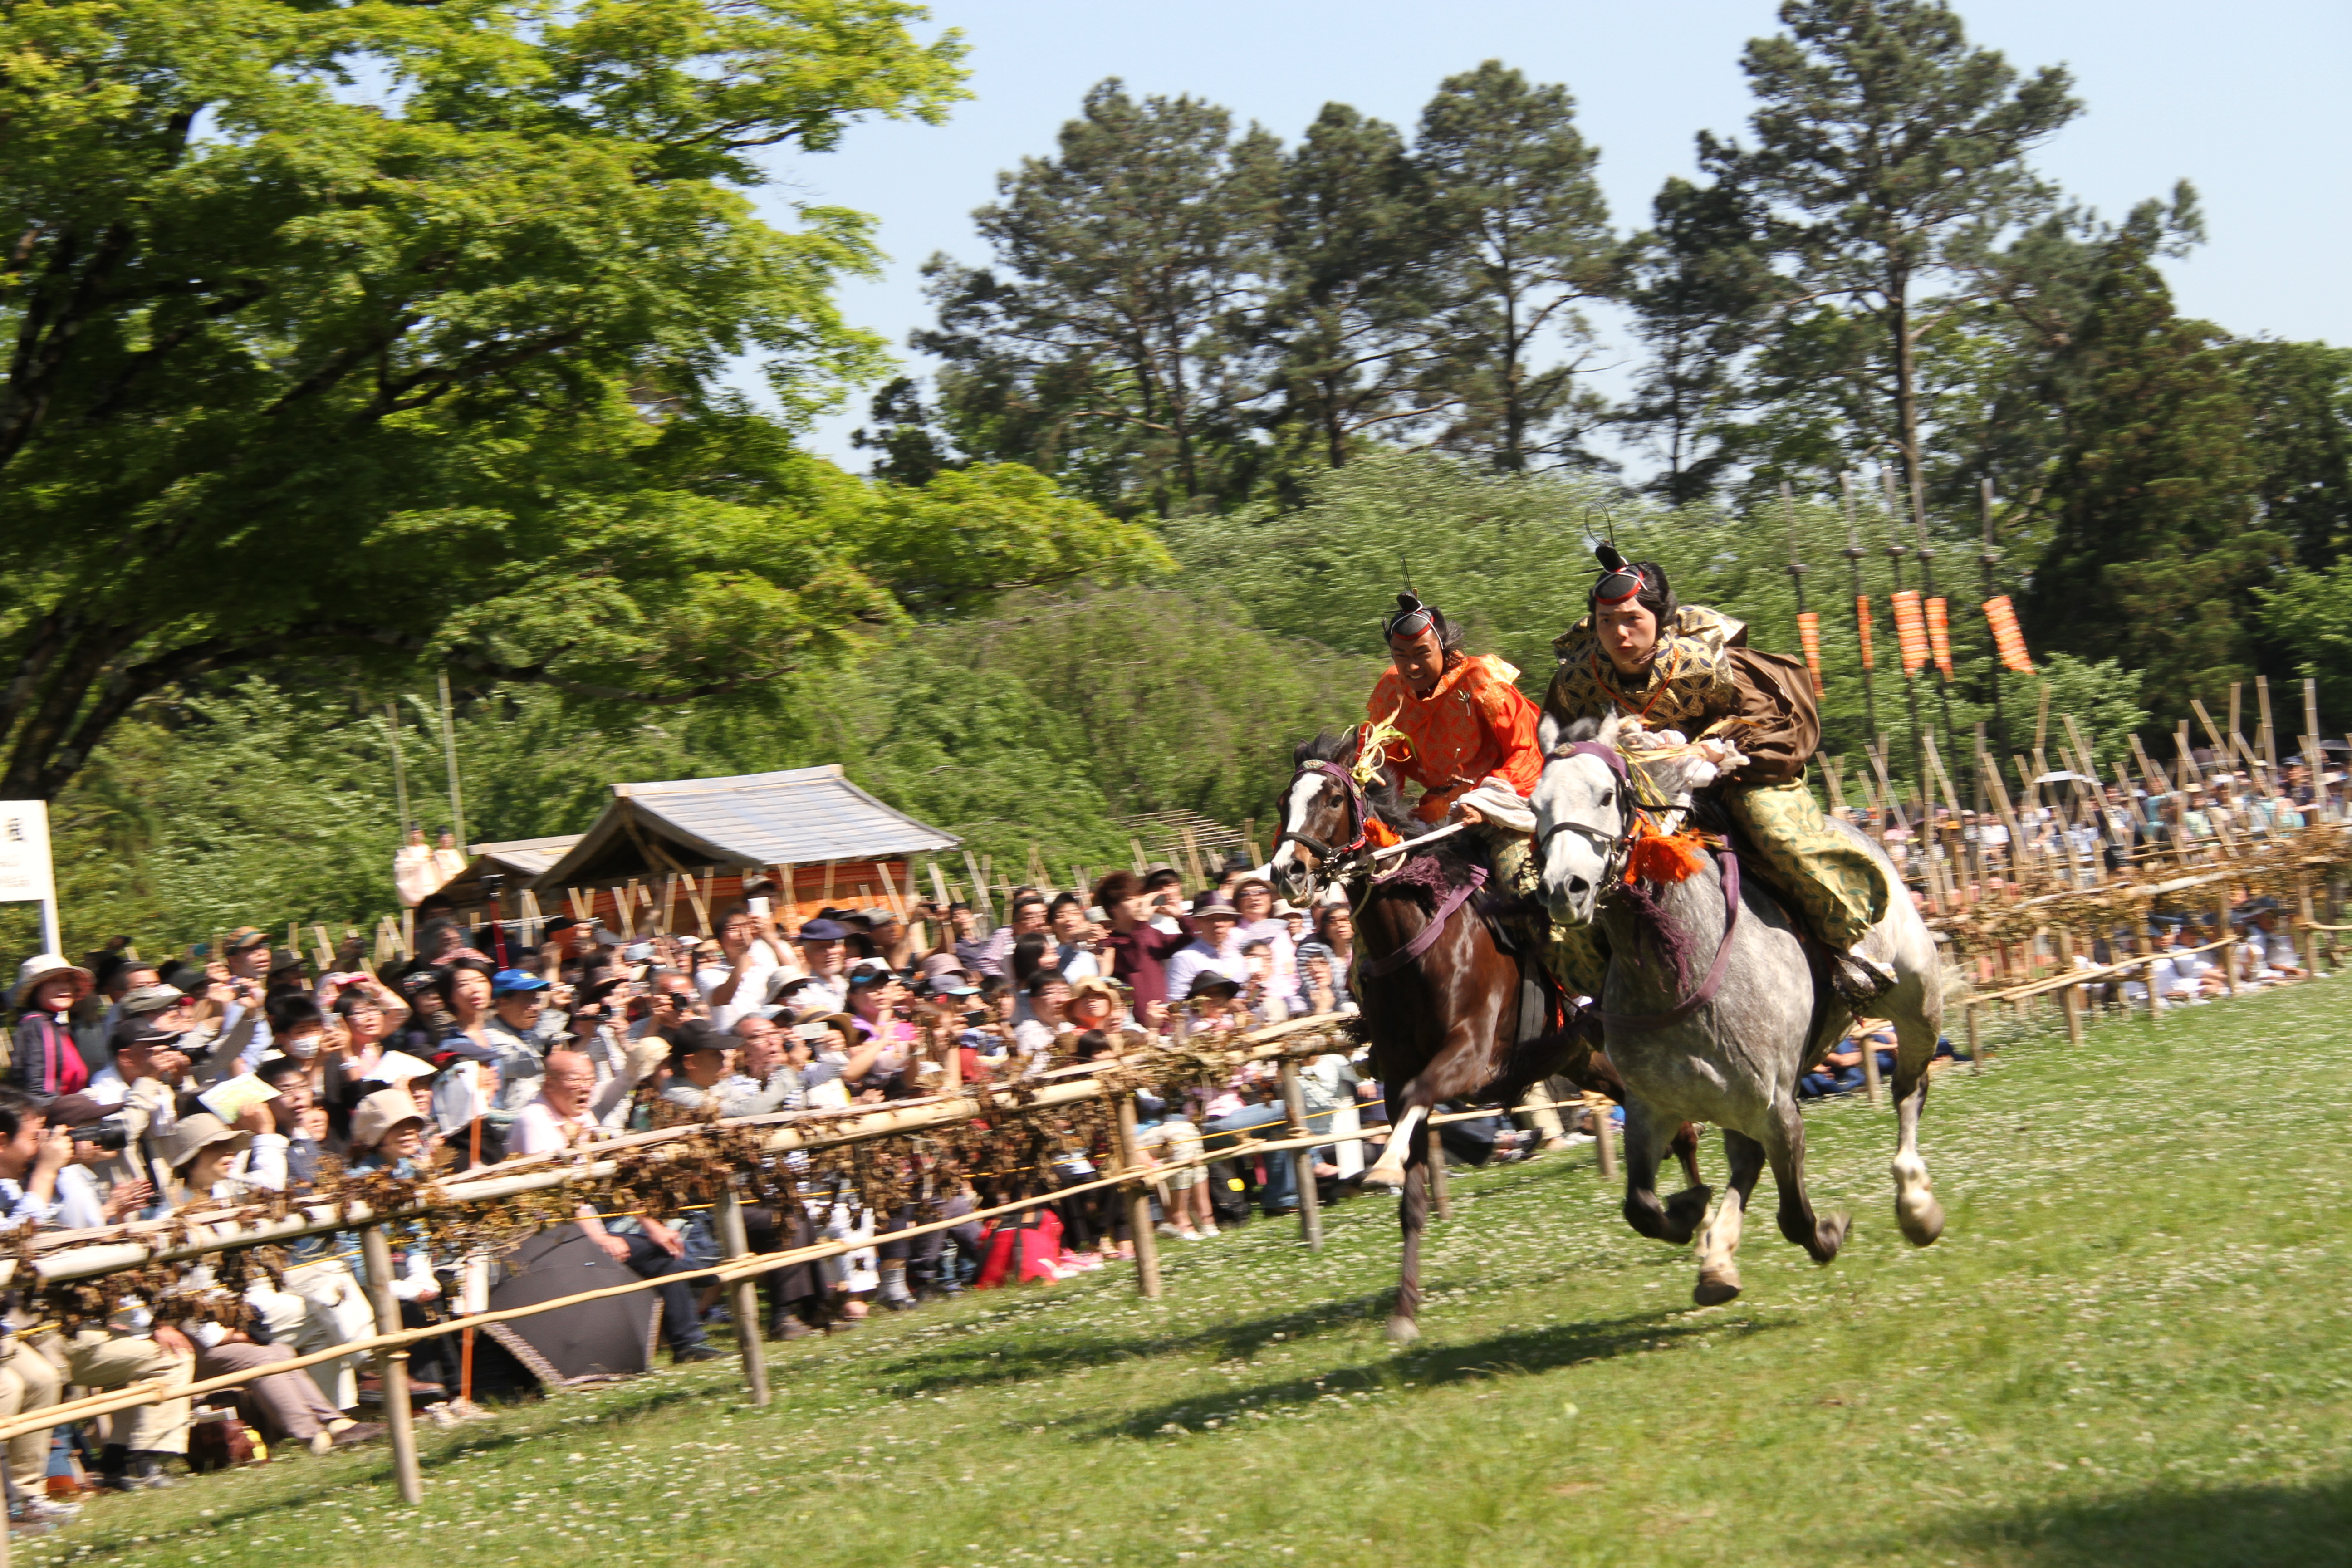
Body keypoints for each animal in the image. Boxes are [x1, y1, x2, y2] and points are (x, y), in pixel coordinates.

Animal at [1270, 729, 1712, 1344]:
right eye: (1283, 802)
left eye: (1333, 798)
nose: (1287, 871)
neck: (1418, 941)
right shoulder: (1398, 1076)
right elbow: (1413, 1195)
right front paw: (1404, 1311)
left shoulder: (1470, 1058)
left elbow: (1420, 1103)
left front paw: (1381, 1167)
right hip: (1585, 1059)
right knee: (1679, 1129)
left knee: (1689, 1125)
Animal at [1524, 719, 1947, 1307]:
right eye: (1535, 805)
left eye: (1607, 795)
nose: (1565, 890)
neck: (1679, 972)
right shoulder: (1652, 1108)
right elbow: (1641, 1207)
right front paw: (1689, 1210)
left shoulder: (1777, 1108)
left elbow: (1795, 1216)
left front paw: (1830, 1232)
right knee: (1745, 1163)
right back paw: (1718, 1260)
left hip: (1918, 1001)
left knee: (1910, 1089)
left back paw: (1916, 1206)